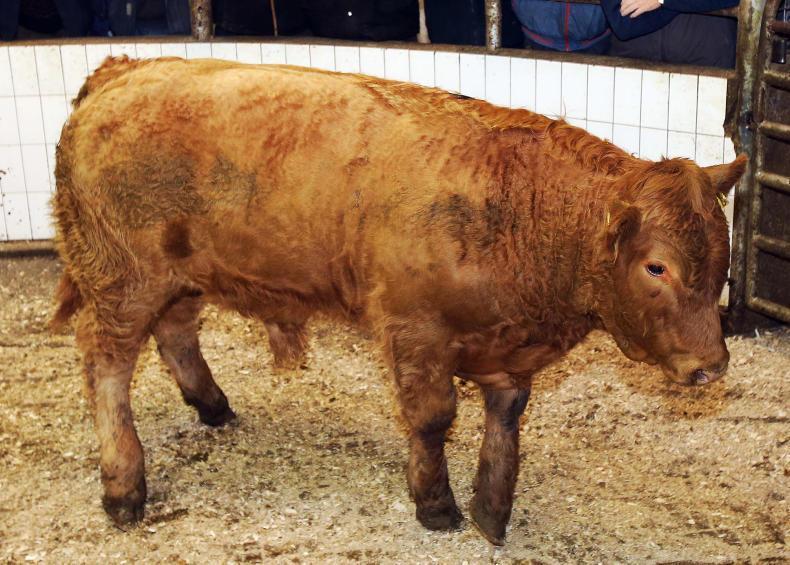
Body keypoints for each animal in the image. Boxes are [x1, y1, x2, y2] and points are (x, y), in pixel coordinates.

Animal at [51, 56, 746, 544]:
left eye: (724, 257)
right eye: (656, 266)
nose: (710, 366)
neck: (519, 206)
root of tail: (124, 71)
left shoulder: (508, 351)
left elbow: (506, 422)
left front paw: (493, 508)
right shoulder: (417, 330)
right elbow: (433, 418)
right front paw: (436, 504)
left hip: (179, 275)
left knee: (175, 332)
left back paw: (212, 406)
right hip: (121, 277)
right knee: (106, 363)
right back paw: (124, 487)